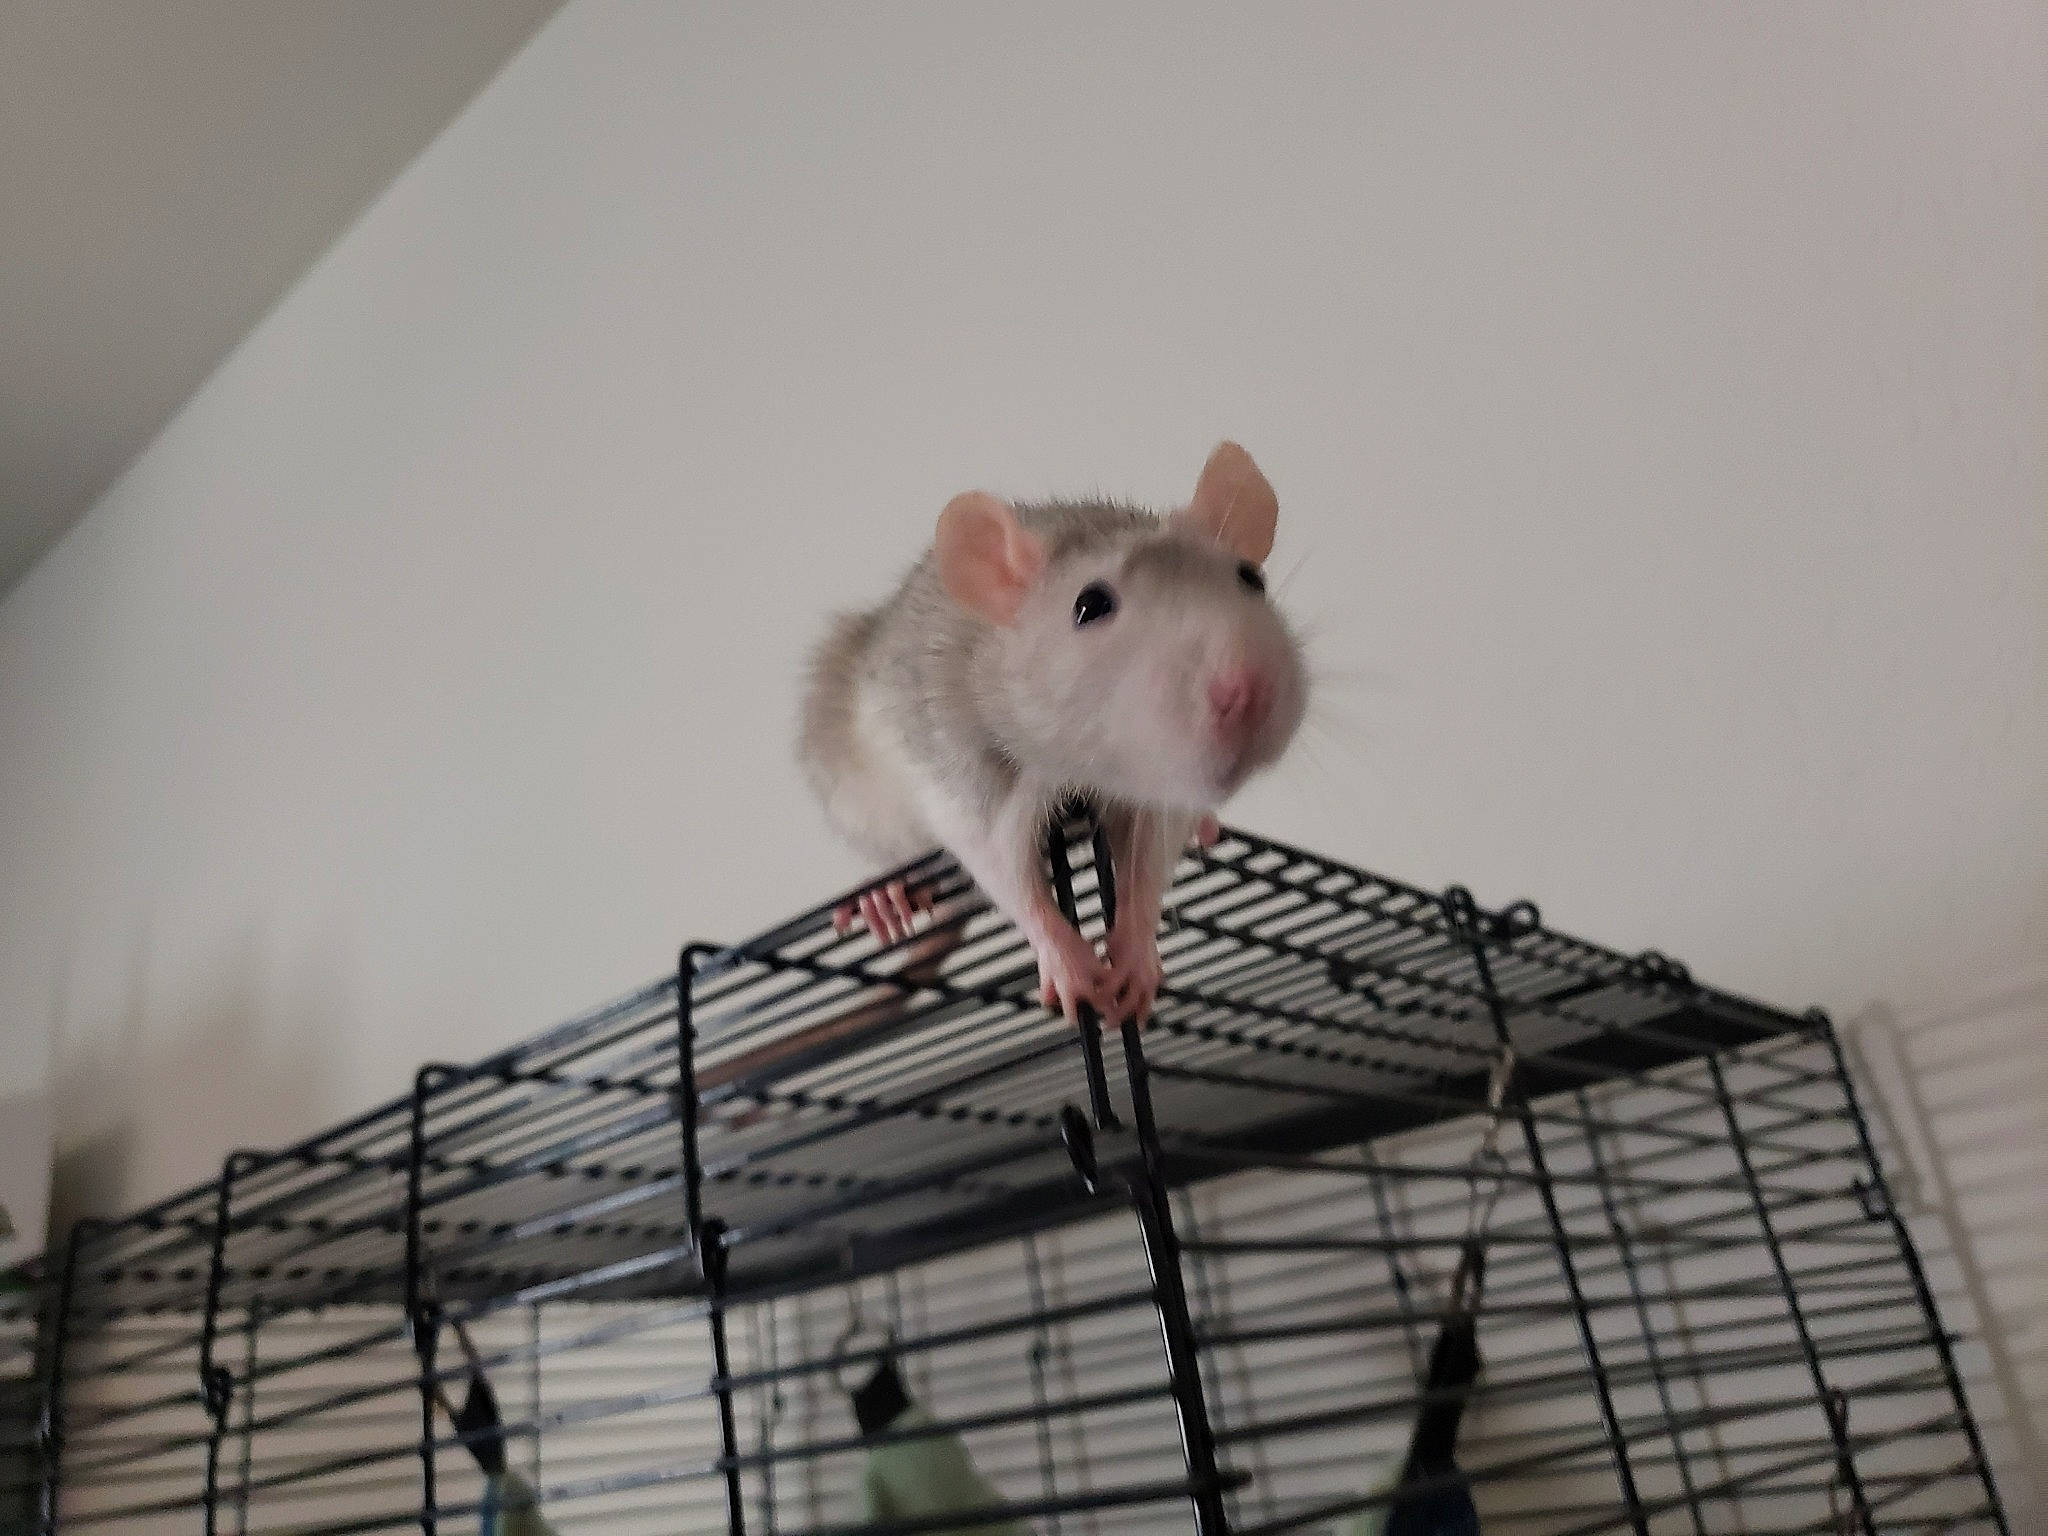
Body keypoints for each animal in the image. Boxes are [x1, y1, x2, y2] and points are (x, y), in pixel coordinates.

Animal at [797, 441, 1307, 1027]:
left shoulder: (1157, 794)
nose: (1248, 691)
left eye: (1251, 578)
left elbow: (1151, 853)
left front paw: (1137, 948)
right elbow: (996, 858)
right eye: (1090, 605)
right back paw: (887, 895)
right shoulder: (966, 760)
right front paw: (1066, 960)